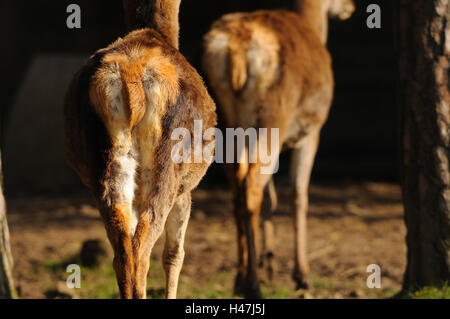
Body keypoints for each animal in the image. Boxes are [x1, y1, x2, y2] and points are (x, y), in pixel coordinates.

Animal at [63, 0, 216, 300]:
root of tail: (130, 77)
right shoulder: (187, 190)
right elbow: (174, 254)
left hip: (109, 165)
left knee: (122, 253)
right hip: (168, 167)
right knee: (143, 251)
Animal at [202, 0, 354, 300]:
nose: (350, 7)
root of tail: (236, 51)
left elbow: (271, 198)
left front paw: (270, 263)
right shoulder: (312, 130)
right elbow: (299, 193)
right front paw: (302, 276)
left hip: (225, 124)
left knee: (238, 188)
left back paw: (240, 278)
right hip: (273, 118)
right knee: (251, 188)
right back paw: (253, 284)